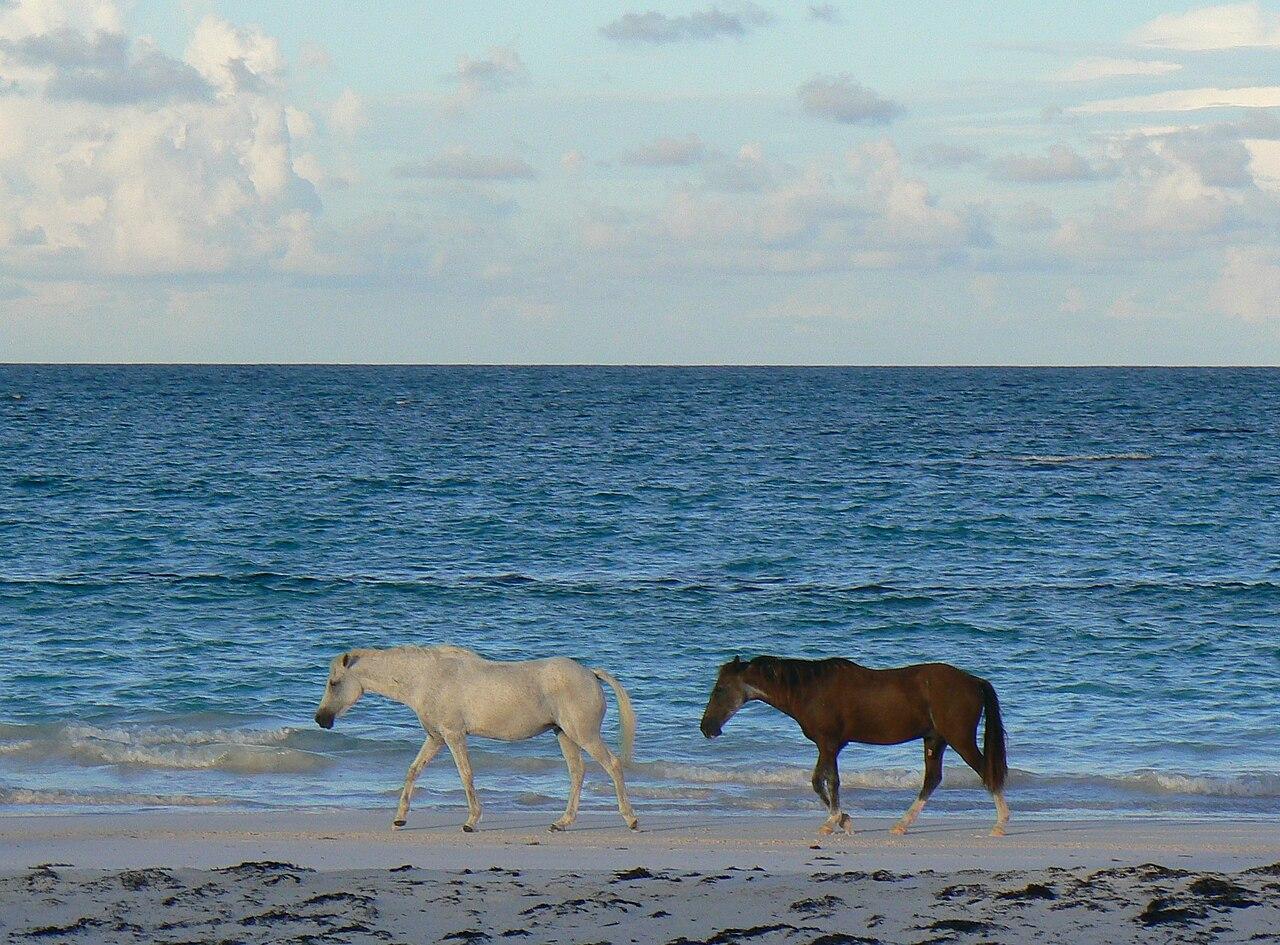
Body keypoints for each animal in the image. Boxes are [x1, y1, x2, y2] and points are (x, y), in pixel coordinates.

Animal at [311, 645, 640, 829]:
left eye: (334, 682)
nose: (321, 719)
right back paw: (561, 823)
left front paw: (471, 821)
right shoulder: (436, 738)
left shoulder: (453, 735)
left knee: (612, 765)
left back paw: (631, 819)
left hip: (583, 735)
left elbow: (466, 774)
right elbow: (413, 771)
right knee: (577, 773)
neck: (427, 678)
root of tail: (590, 673)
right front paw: (400, 818)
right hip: (565, 736)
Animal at [701, 655, 1008, 829]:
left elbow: (828, 781)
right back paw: (902, 824)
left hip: (959, 738)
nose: (707, 728)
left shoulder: (828, 743)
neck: (810, 690)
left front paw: (834, 821)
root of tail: (974, 681)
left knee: (985, 771)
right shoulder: (828, 745)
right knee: (933, 779)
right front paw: (843, 819)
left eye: (720, 689)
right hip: (935, 739)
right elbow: (820, 781)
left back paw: (1001, 823)